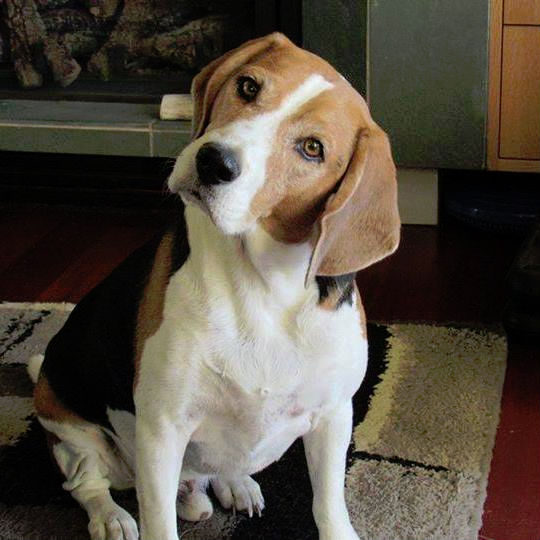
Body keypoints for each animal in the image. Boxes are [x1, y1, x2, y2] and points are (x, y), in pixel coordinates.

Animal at [28, 32, 400, 540]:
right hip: (74, 433)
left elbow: (328, 503)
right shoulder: (162, 429)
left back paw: (234, 484)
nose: (213, 162)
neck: (264, 290)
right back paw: (111, 517)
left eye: (312, 148)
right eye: (248, 86)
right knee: (87, 484)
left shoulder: (334, 415)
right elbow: (159, 523)